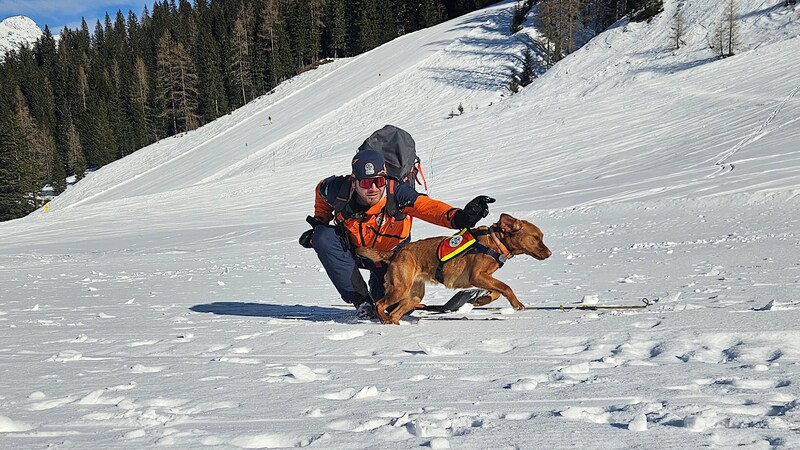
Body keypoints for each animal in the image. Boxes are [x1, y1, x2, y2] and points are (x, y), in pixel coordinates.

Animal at [360, 214, 552, 324]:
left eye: (541, 237)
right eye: (536, 237)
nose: (550, 253)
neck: (495, 242)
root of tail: (396, 252)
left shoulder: (485, 277)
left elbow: (497, 291)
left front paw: (482, 300)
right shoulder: (477, 275)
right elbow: (506, 287)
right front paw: (516, 304)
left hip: (414, 295)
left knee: (394, 313)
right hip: (400, 288)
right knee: (379, 304)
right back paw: (383, 320)